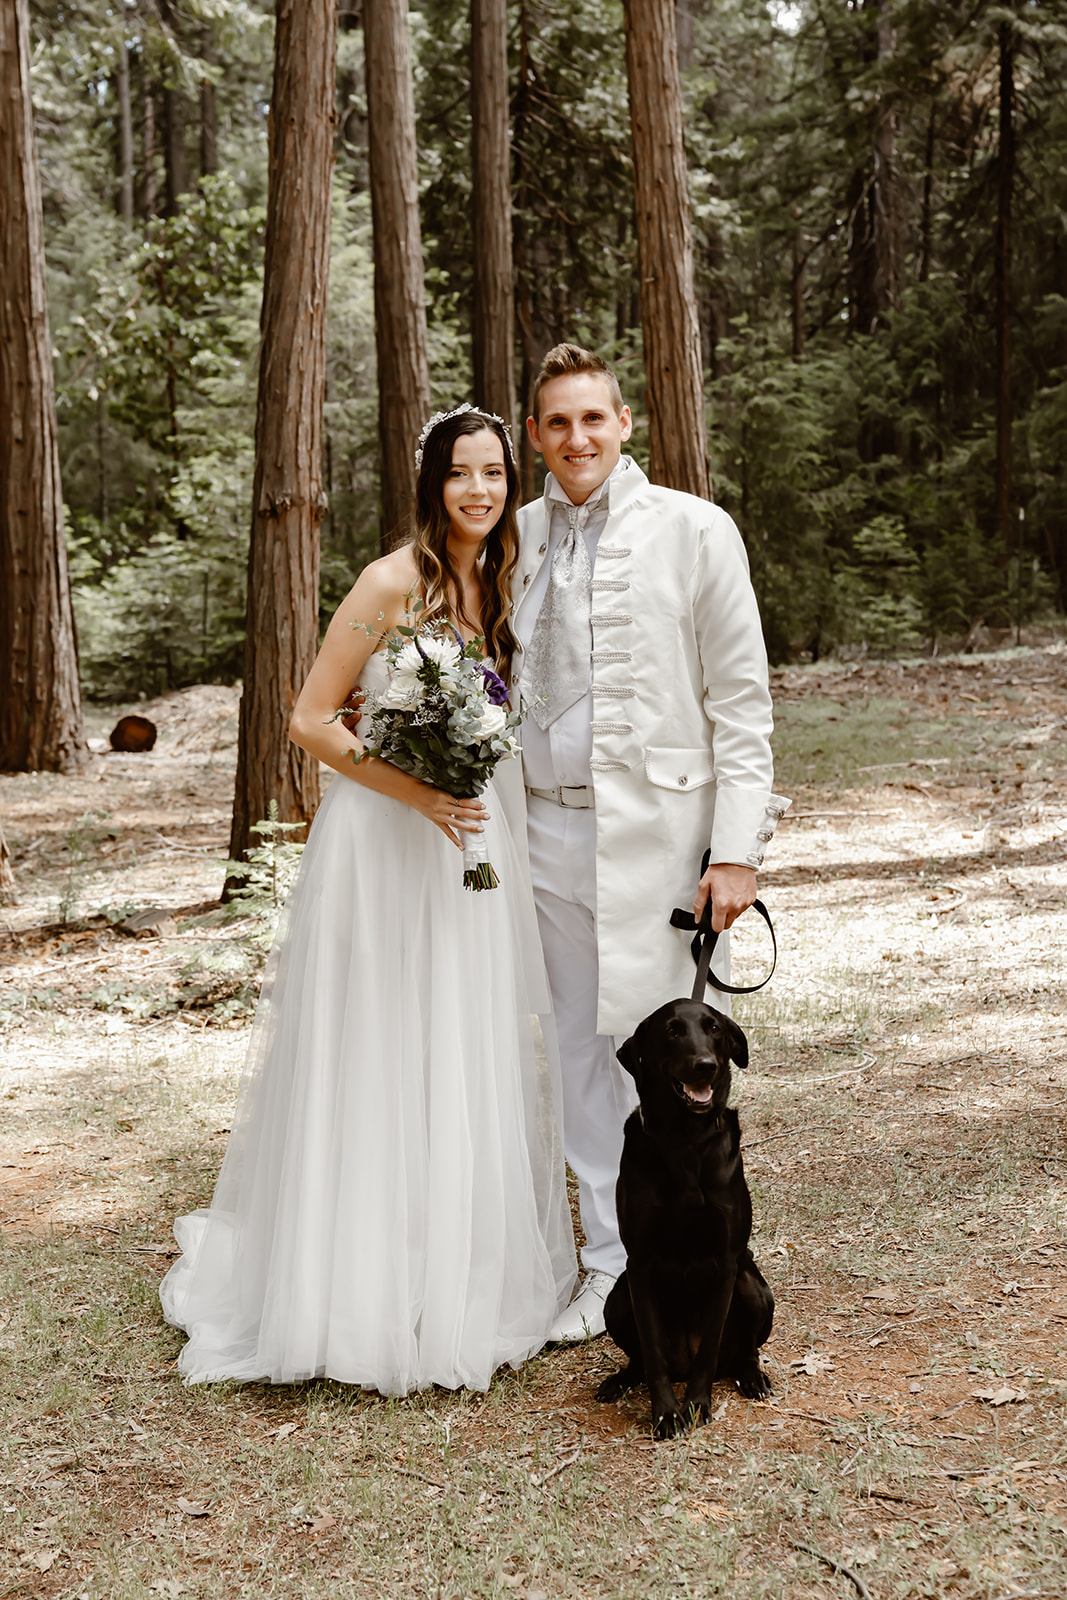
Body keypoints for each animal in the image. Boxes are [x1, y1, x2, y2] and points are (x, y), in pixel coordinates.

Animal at [598, 998, 771, 1440]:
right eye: (672, 1031)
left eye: (714, 1028)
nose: (705, 1065)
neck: (686, 1140)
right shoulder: (638, 1266)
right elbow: (652, 1353)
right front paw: (665, 1413)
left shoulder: (727, 1263)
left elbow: (709, 1347)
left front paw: (696, 1403)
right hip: (617, 1299)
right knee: (641, 1359)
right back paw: (620, 1380)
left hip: (753, 1287)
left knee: (743, 1351)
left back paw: (751, 1376)